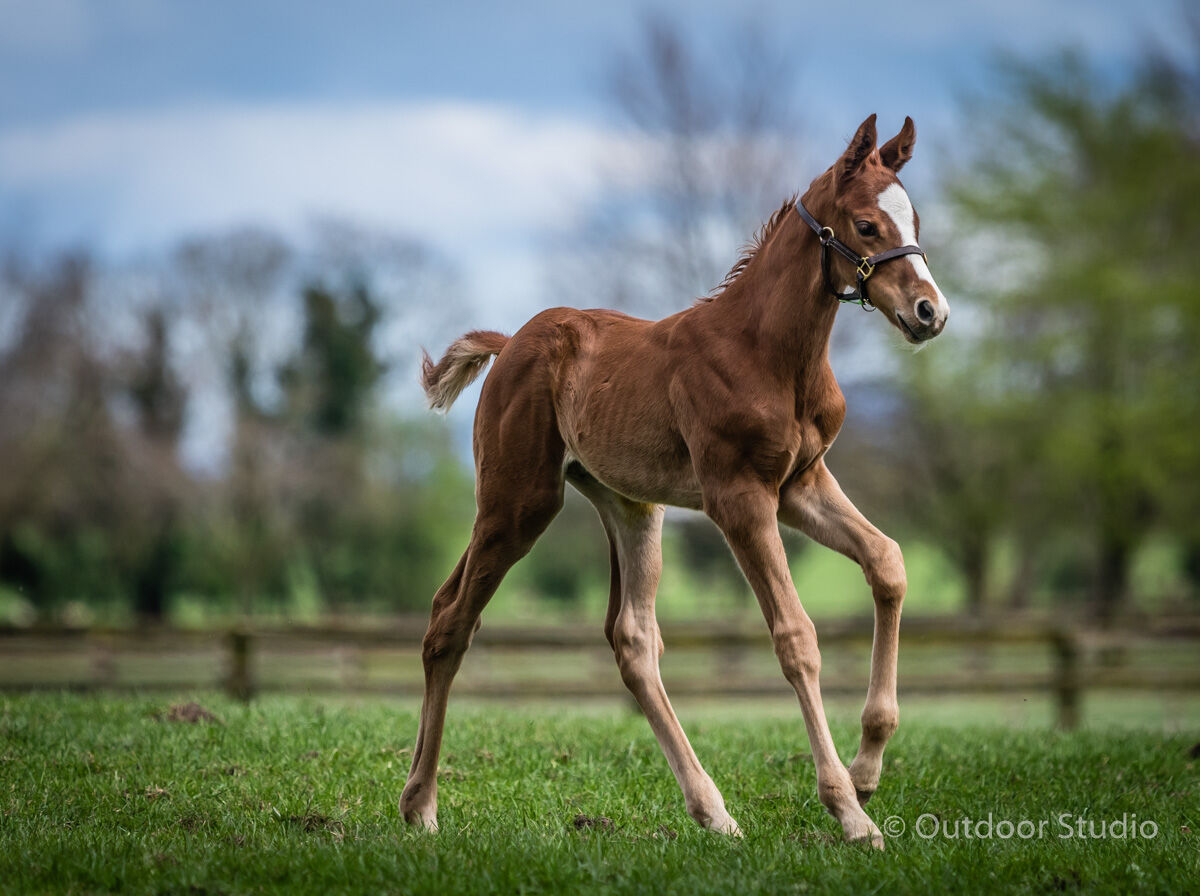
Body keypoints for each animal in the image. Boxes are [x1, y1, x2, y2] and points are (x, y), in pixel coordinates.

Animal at [403, 113, 945, 849]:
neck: (769, 353)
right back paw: (421, 806)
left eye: (914, 218)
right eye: (866, 225)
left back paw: (713, 810)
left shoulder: (800, 485)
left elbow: (888, 562)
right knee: (452, 622)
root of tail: (511, 341)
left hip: (631, 506)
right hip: (518, 501)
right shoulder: (739, 498)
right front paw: (850, 812)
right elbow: (796, 638)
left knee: (629, 639)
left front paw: (866, 771)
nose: (929, 312)